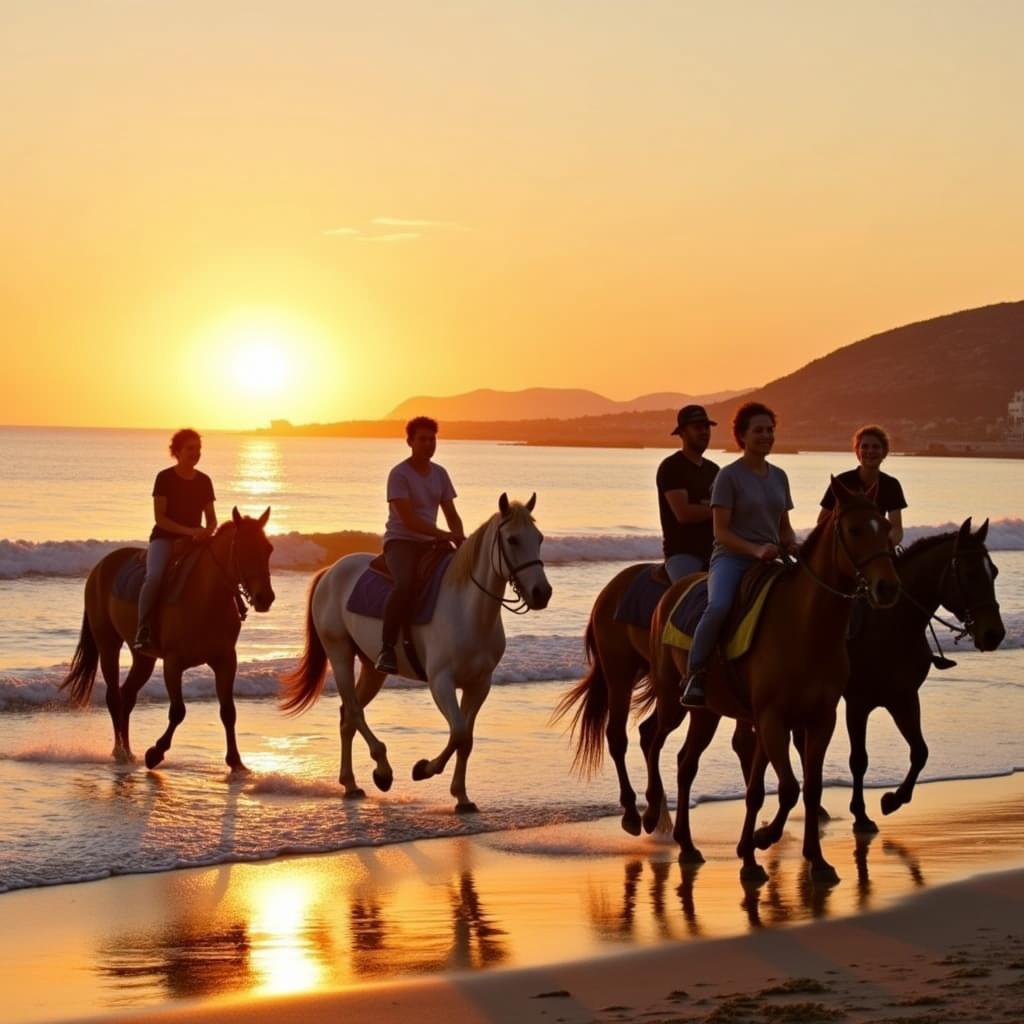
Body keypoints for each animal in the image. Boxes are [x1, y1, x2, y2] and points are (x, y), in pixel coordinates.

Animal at [60, 507, 276, 770]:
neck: (206, 598)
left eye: (268, 549)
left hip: (143, 657)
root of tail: (100, 566)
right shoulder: (173, 663)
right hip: (108, 644)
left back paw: (128, 752)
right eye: (243, 548)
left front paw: (235, 761)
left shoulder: (226, 661)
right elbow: (178, 711)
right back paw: (121, 751)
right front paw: (155, 753)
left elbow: (228, 711)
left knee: (127, 695)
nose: (265, 597)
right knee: (114, 696)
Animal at [280, 491, 552, 811]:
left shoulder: (479, 684)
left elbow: (466, 740)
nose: (542, 593)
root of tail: (331, 571)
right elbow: (458, 732)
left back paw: (350, 784)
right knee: (355, 712)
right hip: (340, 653)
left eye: (539, 538)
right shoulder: (441, 682)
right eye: (512, 540)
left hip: (372, 668)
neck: (467, 609)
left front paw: (462, 797)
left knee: (348, 715)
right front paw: (423, 769)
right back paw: (382, 771)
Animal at [638, 483, 905, 884]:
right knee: (654, 741)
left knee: (686, 764)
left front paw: (813, 861)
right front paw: (762, 840)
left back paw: (687, 845)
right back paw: (652, 813)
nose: (887, 587)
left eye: (886, 528)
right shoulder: (771, 718)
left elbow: (805, 788)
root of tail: (672, 592)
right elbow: (788, 787)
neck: (805, 627)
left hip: (707, 712)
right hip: (672, 698)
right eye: (856, 530)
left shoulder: (820, 719)